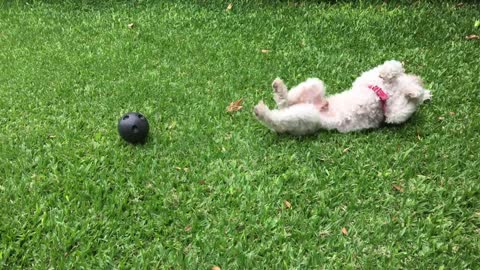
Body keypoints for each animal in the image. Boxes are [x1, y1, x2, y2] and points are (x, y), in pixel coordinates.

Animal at [255, 59, 432, 134]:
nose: (419, 78)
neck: (390, 90)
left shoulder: (394, 114)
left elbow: (406, 104)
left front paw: (416, 92)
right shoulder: (366, 79)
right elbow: (393, 66)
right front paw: (390, 73)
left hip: (307, 111)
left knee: (281, 114)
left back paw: (267, 105)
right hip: (311, 96)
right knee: (281, 111)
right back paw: (272, 98)